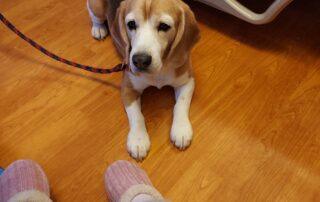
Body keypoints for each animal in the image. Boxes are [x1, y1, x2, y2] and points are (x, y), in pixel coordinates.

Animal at [86, 0, 199, 160]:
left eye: (164, 26)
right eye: (131, 24)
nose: (139, 60)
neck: (159, 71)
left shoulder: (187, 81)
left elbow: (180, 105)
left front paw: (181, 129)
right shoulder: (128, 88)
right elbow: (137, 116)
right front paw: (138, 140)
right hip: (96, 7)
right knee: (95, 16)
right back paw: (98, 29)